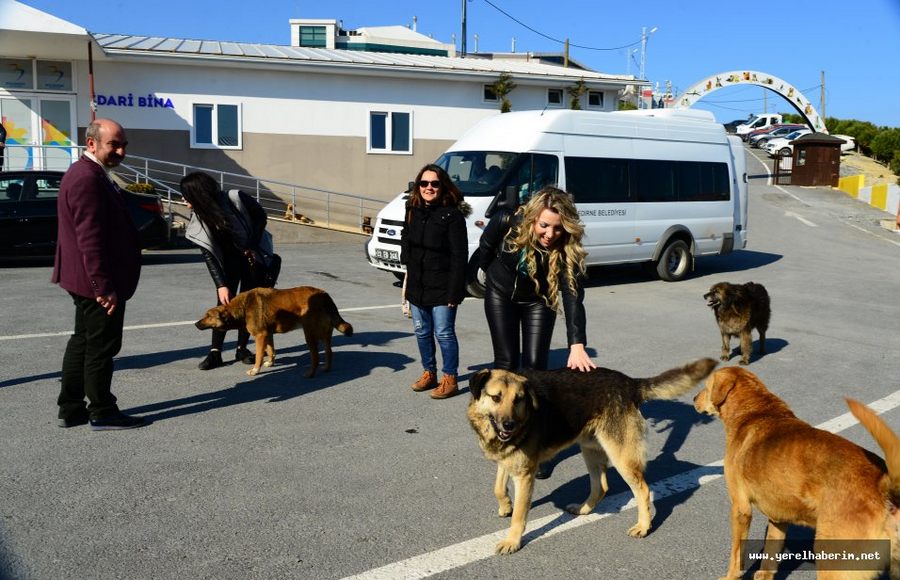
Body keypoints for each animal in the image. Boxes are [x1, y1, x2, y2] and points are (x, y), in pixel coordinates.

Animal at [195, 286, 354, 378]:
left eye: (208, 316)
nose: (196, 324)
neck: (243, 307)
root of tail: (324, 295)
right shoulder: (268, 334)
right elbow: (271, 350)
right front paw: (270, 363)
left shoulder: (260, 336)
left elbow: (259, 356)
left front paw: (255, 370)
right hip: (324, 334)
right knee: (329, 352)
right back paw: (326, 368)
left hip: (309, 334)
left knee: (315, 356)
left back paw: (310, 374)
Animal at [472, 360, 716, 556]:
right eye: (496, 397)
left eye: (518, 400)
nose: (508, 426)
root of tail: (629, 383)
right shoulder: (508, 459)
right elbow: (498, 487)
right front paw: (505, 505)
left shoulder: (524, 474)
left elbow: (520, 515)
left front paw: (513, 541)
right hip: (590, 449)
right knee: (601, 486)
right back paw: (583, 509)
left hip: (621, 457)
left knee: (643, 490)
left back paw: (643, 526)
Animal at [692, 368, 896, 580]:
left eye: (706, 387)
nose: (693, 398)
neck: (754, 412)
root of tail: (881, 483)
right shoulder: (778, 518)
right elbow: (769, 556)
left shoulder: (741, 508)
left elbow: (736, 555)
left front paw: (730, 576)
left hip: (831, 559)